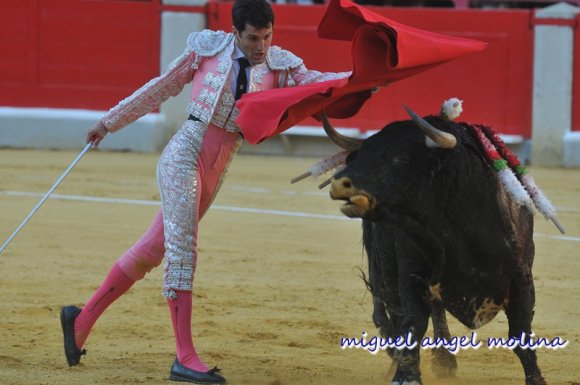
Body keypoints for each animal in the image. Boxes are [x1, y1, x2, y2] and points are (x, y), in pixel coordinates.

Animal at [318, 104, 556, 384]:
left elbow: (520, 333)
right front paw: (405, 374)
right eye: (360, 156)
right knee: (397, 309)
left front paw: (536, 379)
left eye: (401, 159)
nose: (340, 183)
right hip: (385, 264)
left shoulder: (521, 277)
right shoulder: (413, 274)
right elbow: (414, 322)